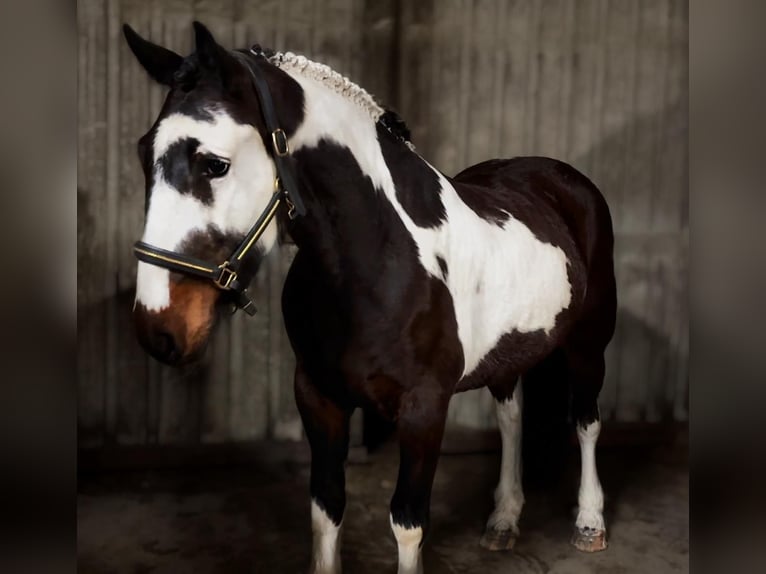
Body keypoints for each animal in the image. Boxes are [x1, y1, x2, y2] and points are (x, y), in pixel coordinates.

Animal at [124, 21, 617, 574]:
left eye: (215, 163)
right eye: (143, 153)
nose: (159, 329)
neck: (378, 259)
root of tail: (559, 176)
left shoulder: (424, 407)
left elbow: (407, 522)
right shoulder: (318, 396)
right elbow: (325, 510)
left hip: (589, 343)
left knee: (587, 421)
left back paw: (589, 524)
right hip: (509, 353)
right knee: (511, 417)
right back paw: (504, 521)